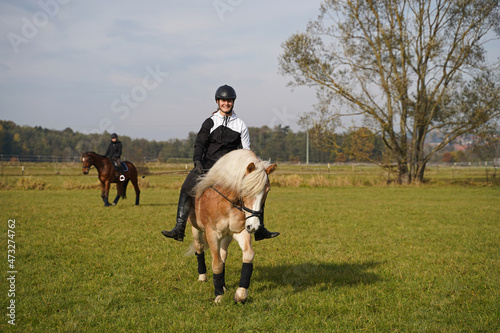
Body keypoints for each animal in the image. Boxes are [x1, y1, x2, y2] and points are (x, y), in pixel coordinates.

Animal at [188, 149, 278, 302]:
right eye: (245, 189)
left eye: (267, 191)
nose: (254, 226)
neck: (227, 204)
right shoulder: (212, 234)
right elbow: (216, 263)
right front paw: (218, 296)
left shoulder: (241, 232)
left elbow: (248, 255)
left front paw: (240, 294)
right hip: (197, 230)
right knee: (199, 248)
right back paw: (203, 277)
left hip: (227, 237)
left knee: (223, 254)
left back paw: (223, 286)